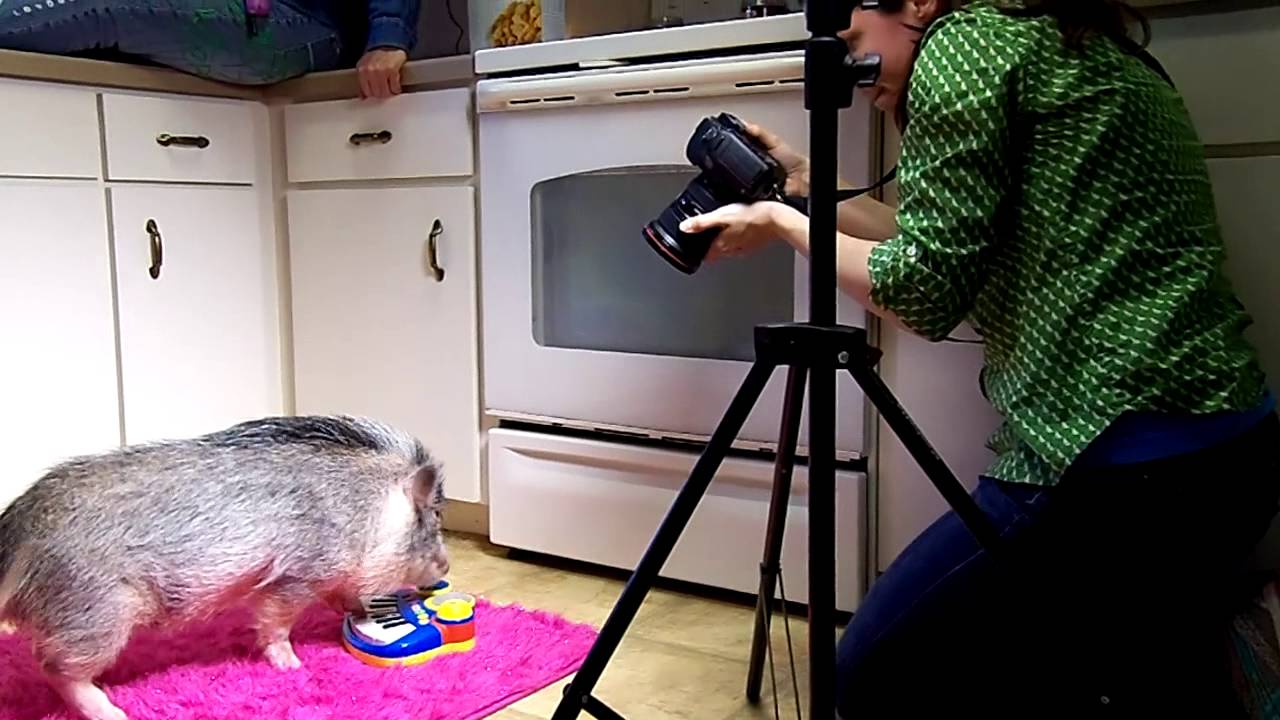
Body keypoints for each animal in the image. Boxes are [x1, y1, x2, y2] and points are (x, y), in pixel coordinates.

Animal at [0, 414, 450, 720]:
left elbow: (344, 597)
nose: (445, 569)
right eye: (431, 520)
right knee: (56, 667)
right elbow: (275, 622)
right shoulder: (295, 575)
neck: (370, 513)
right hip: (97, 612)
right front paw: (292, 665)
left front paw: (359, 612)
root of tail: (19, 528)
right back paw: (112, 711)